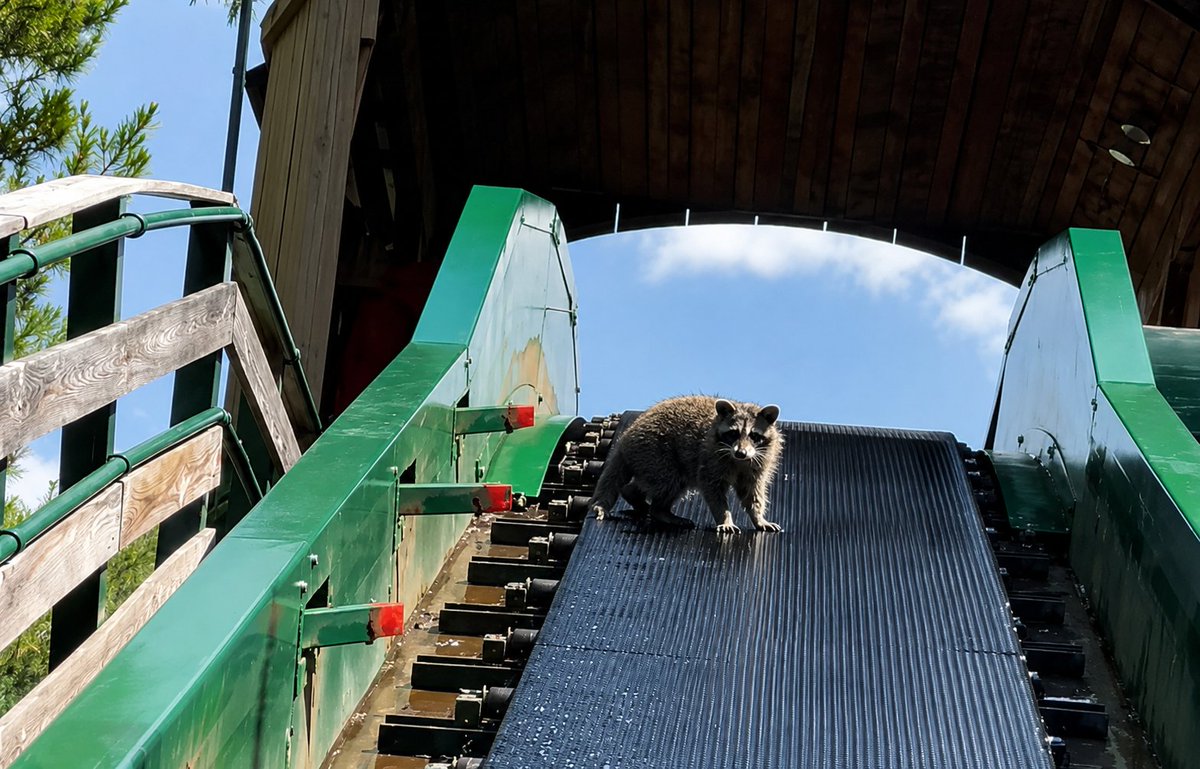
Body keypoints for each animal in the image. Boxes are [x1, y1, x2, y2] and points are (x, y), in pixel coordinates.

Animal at [588, 395, 784, 533]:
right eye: (733, 433)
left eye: (754, 435)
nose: (740, 452)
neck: (738, 460)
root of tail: (625, 439)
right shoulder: (710, 458)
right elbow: (713, 490)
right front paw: (724, 517)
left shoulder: (758, 463)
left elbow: (752, 492)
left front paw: (758, 517)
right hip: (655, 450)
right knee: (668, 481)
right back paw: (660, 510)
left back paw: (634, 495)